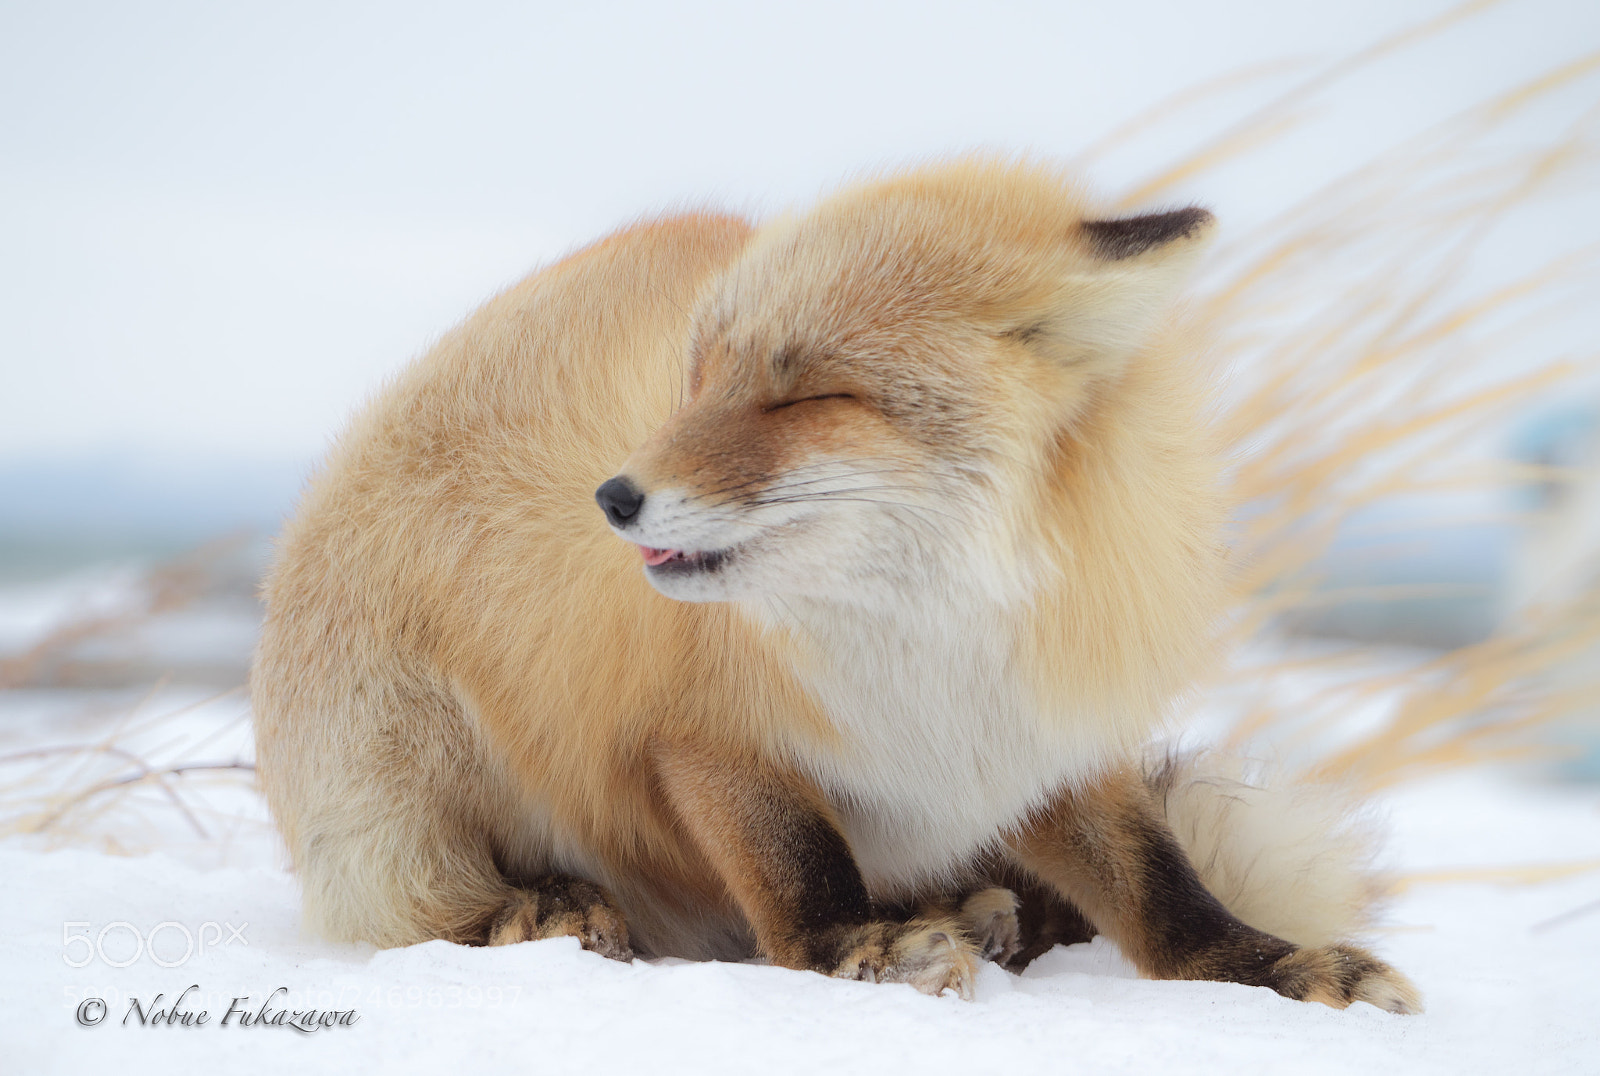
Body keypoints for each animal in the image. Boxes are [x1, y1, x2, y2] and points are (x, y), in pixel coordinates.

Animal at [251, 158, 1420, 1012]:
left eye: (806, 394)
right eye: (700, 380)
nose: (614, 497)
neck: (932, 642)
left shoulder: (1042, 727)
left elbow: (1159, 883)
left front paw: (1266, 965)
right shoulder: (700, 738)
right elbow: (797, 871)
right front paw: (866, 951)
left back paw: (980, 908)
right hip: (398, 793)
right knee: (432, 904)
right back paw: (538, 911)